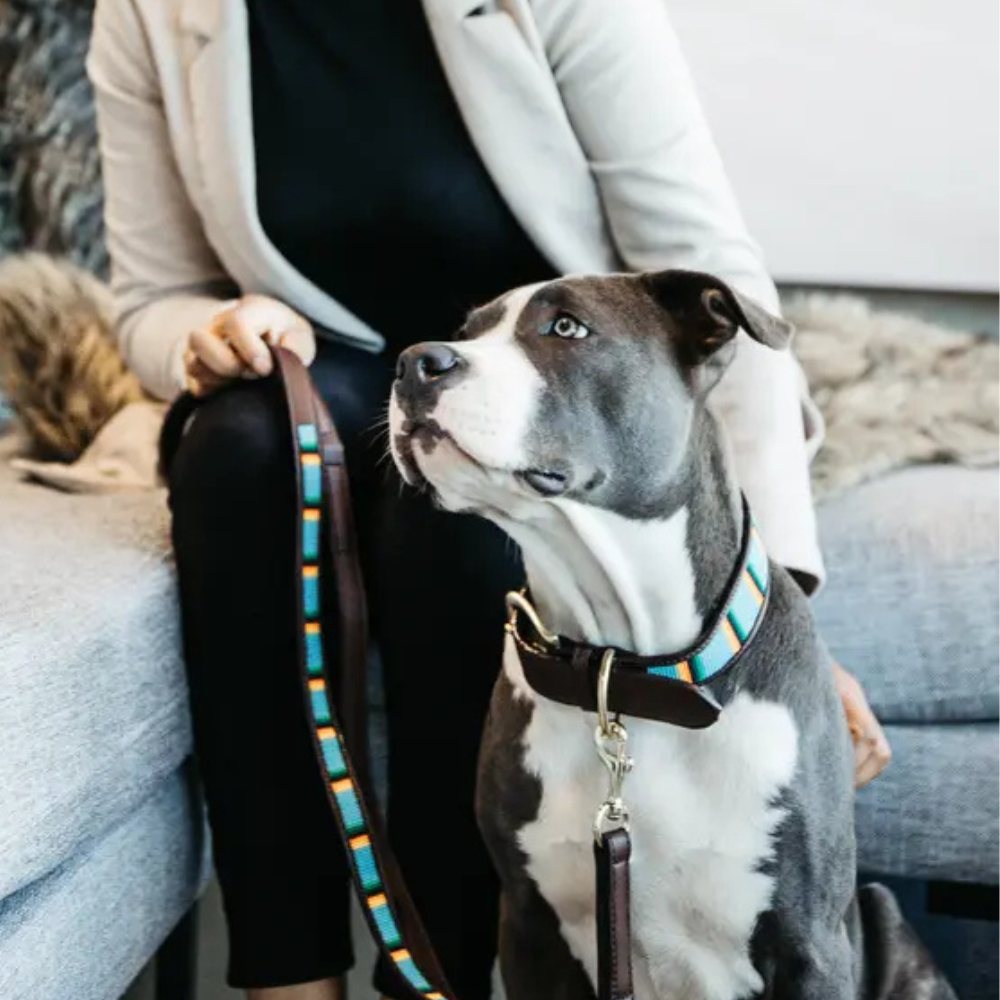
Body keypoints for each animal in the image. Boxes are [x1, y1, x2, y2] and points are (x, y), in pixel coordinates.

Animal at [389, 269, 954, 1000]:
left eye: (567, 327)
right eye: (467, 332)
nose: (414, 363)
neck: (629, 672)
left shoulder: (811, 943)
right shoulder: (528, 927)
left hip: (883, 920)